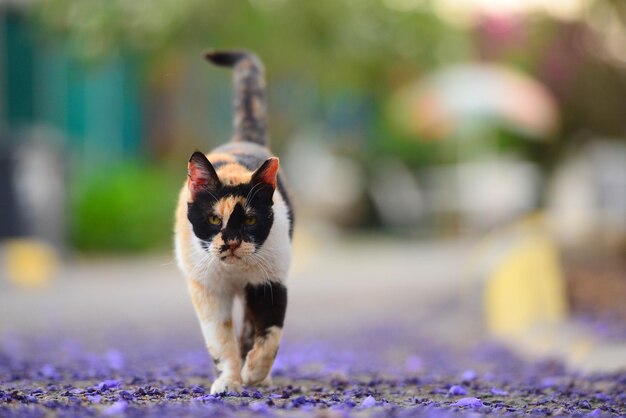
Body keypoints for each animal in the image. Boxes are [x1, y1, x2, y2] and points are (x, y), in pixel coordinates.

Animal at [174, 50, 294, 394]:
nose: (231, 241)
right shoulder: (208, 291)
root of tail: (241, 141)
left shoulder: (270, 283)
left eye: (251, 219)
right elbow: (220, 340)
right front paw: (229, 381)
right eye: (214, 218)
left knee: (253, 327)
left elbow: (271, 333)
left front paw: (254, 371)